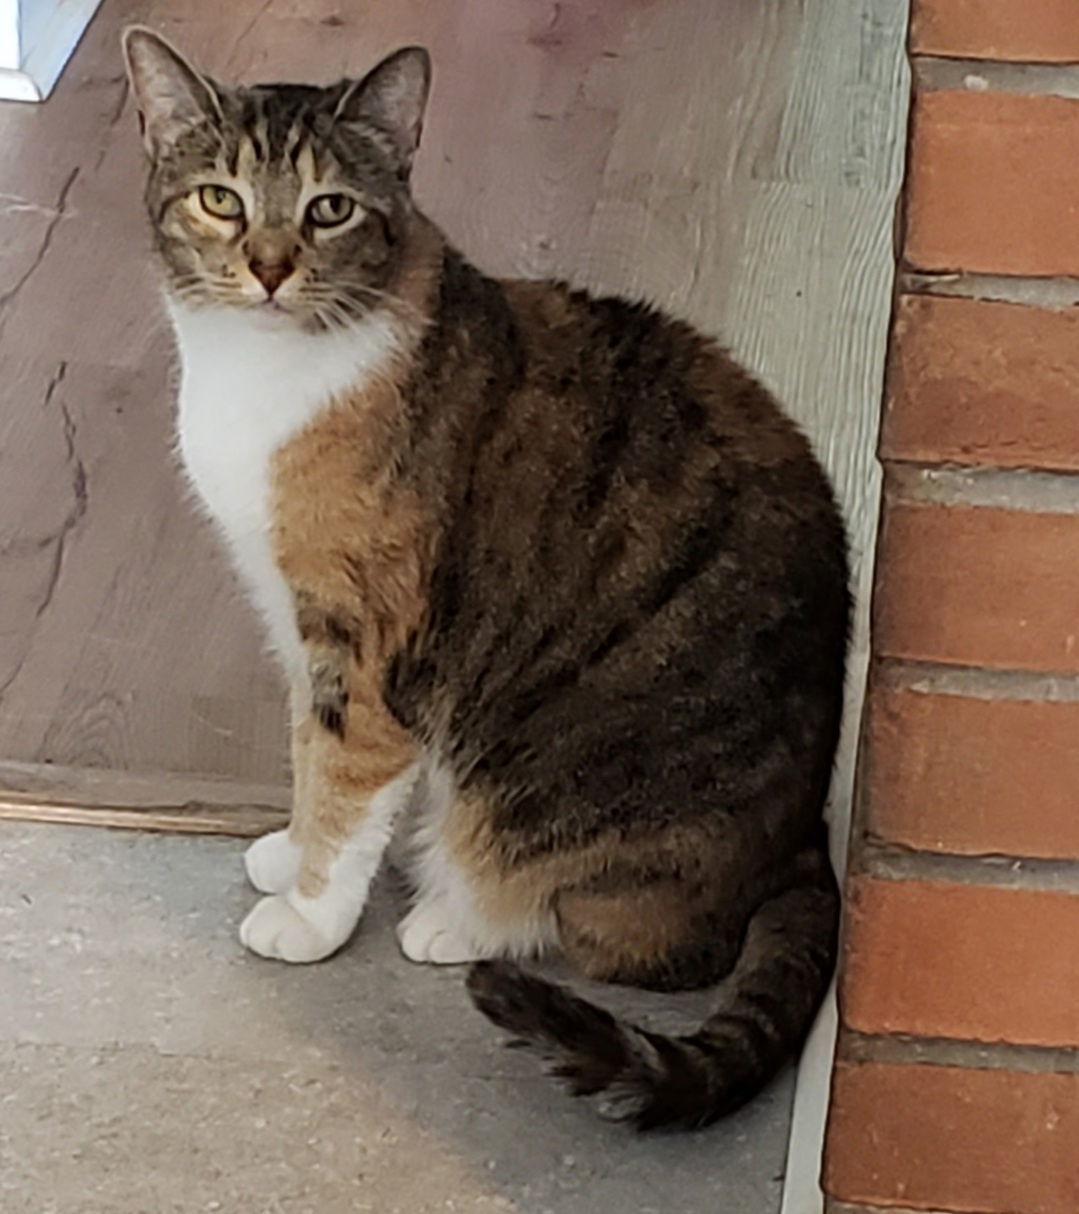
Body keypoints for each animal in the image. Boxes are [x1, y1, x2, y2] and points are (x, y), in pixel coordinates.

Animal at [124, 26, 849, 1126]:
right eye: (219, 198)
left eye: (328, 207)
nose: (268, 267)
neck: (262, 378)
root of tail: (804, 837)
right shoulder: (298, 621)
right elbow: (305, 748)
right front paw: (289, 849)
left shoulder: (367, 634)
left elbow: (345, 772)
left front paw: (310, 912)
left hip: (557, 787)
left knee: (628, 940)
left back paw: (456, 918)